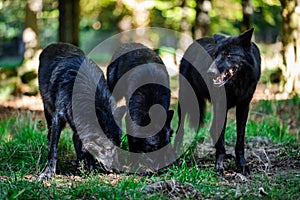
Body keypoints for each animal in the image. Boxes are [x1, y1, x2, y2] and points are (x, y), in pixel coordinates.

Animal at [37, 43, 123, 180]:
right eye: (108, 148)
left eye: (118, 146)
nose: (115, 170)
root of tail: (55, 44)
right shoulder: (58, 117)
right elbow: (53, 149)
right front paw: (48, 172)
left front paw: (89, 166)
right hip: (48, 111)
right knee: (50, 135)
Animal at [178, 28, 260, 175]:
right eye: (215, 55)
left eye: (228, 55)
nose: (210, 72)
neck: (236, 85)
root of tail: (193, 43)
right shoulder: (221, 105)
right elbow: (221, 136)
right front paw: (219, 165)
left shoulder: (243, 106)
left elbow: (240, 139)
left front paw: (241, 165)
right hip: (185, 100)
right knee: (180, 129)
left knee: (212, 129)